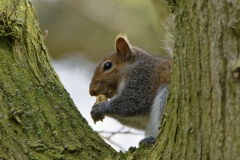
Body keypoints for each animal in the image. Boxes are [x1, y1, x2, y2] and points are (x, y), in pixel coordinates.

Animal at [89, 16, 173, 145]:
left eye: (107, 65)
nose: (91, 91)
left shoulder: (142, 80)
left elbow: (134, 103)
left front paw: (101, 107)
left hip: (166, 93)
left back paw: (153, 139)